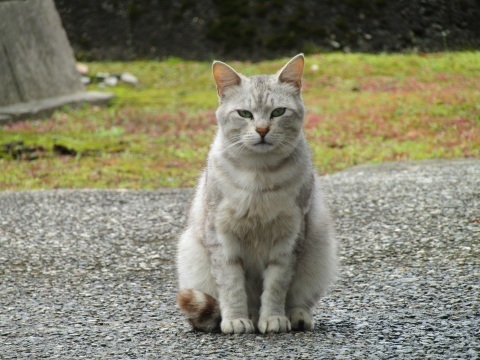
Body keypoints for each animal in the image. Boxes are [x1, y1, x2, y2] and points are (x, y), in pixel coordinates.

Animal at [176, 54, 338, 334]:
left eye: (278, 112)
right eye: (244, 114)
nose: (262, 130)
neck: (260, 175)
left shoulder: (288, 238)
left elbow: (276, 287)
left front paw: (273, 319)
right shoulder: (222, 235)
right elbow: (232, 286)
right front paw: (236, 319)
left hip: (320, 251)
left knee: (299, 300)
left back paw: (296, 317)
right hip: (191, 252)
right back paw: (248, 317)